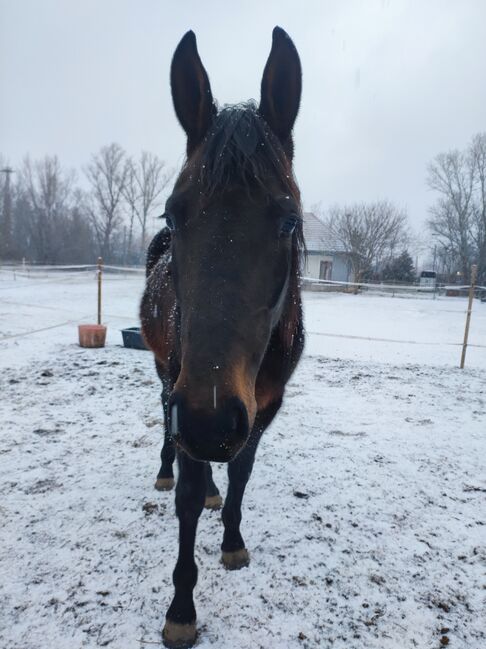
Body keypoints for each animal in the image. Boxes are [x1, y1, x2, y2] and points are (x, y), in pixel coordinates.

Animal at [140, 26, 304, 648]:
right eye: (173, 214)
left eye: (289, 220)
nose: (210, 423)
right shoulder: (189, 395)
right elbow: (188, 500)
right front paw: (182, 608)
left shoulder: (264, 405)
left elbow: (240, 472)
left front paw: (232, 541)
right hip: (169, 380)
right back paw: (166, 470)